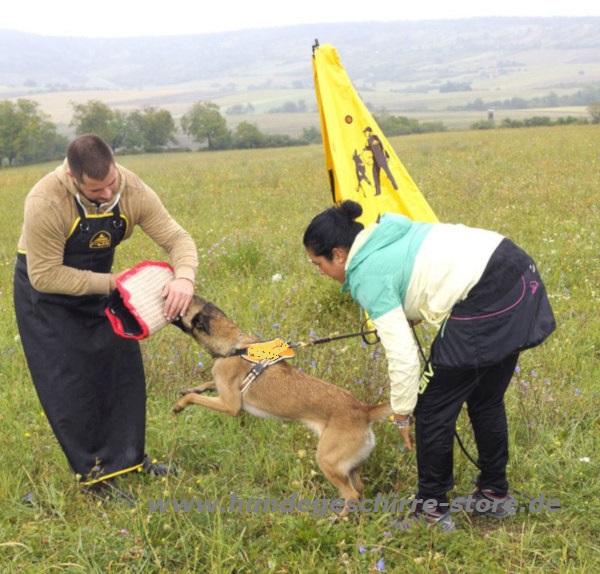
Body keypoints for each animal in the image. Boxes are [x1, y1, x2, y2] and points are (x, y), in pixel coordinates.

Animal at [171, 294, 392, 516]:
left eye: (185, 307)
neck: (233, 346)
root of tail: (364, 410)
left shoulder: (230, 405)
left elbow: (194, 398)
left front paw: (179, 405)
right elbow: (205, 386)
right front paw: (192, 389)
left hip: (327, 461)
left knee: (352, 494)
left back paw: (336, 518)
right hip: (350, 466)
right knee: (359, 489)